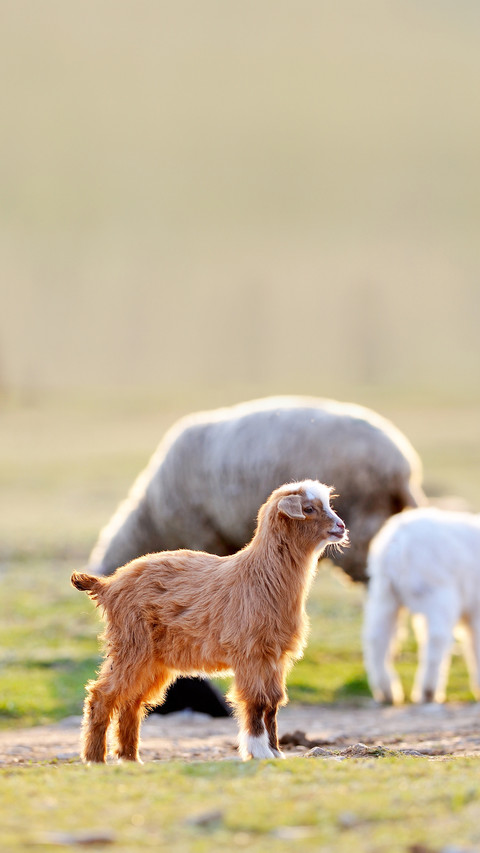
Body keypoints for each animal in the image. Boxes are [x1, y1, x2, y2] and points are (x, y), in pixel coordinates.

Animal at [72, 480, 347, 763]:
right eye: (308, 508)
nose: (341, 527)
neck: (261, 576)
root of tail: (107, 585)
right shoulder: (250, 653)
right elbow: (256, 700)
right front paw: (258, 751)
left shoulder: (275, 656)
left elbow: (273, 702)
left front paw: (275, 752)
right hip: (132, 646)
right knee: (102, 695)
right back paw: (95, 759)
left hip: (153, 660)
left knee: (132, 701)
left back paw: (130, 758)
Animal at [363, 507, 480, 704]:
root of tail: (399, 541)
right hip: (439, 595)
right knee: (437, 639)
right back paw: (428, 692)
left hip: (384, 593)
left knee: (377, 637)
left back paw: (387, 692)